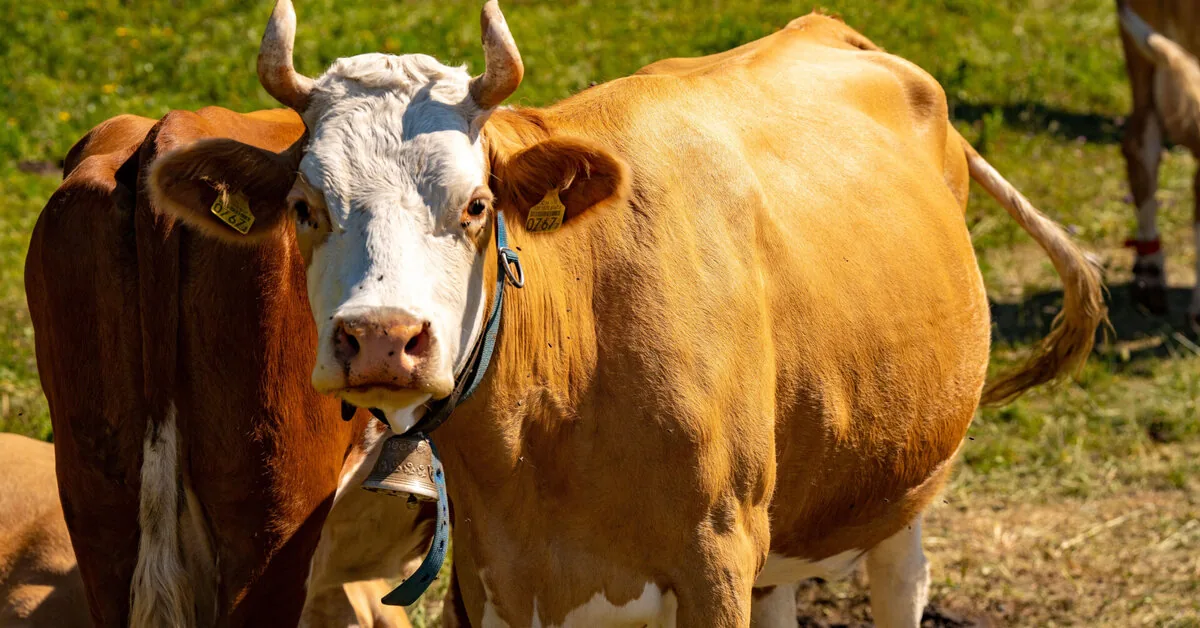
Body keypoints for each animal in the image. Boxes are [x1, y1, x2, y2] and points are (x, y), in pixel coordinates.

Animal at [149, 2, 1106, 626]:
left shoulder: (715, 559)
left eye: (475, 204)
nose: (382, 337)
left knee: (902, 579)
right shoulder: (492, 584)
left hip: (902, 481)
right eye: (306, 207)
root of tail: (830, 29)